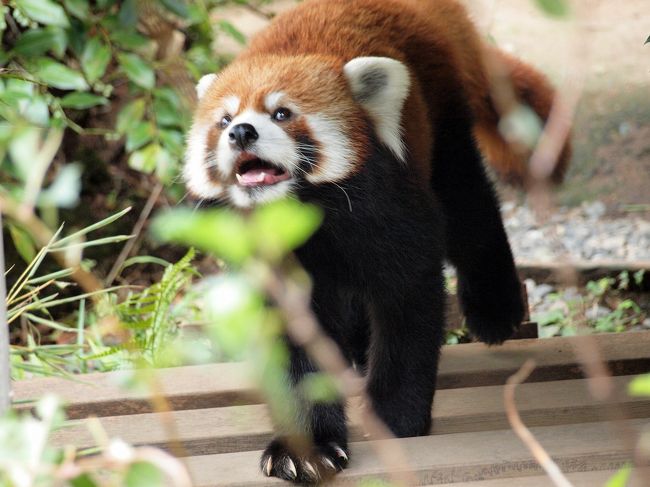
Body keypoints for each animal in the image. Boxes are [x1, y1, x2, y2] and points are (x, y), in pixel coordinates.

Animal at [184, 0, 560, 482]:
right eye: (224, 120)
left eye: (282, 113)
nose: (241, 133)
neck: (303, 211)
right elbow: (295, 346)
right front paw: (306, 448)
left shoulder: (385, 210)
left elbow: (408, 305)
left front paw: (396, 418)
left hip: (443, 119)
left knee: (468, 207)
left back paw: (494, 309)